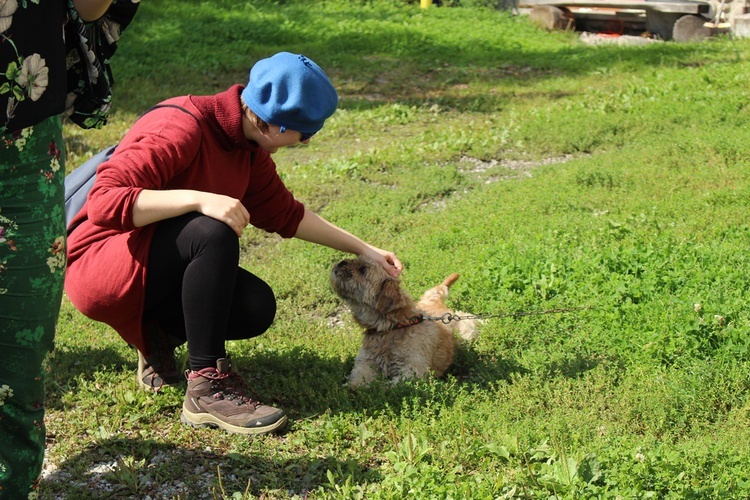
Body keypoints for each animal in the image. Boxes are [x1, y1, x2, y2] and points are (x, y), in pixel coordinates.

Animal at [332, 256, 478, 388]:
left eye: (363, 270)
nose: (341, 262)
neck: (393, 326)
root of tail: (435, 301)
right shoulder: (364, 362)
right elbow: (357, 379)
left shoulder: (413, 368)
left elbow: (392, 385)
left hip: (466, 328)